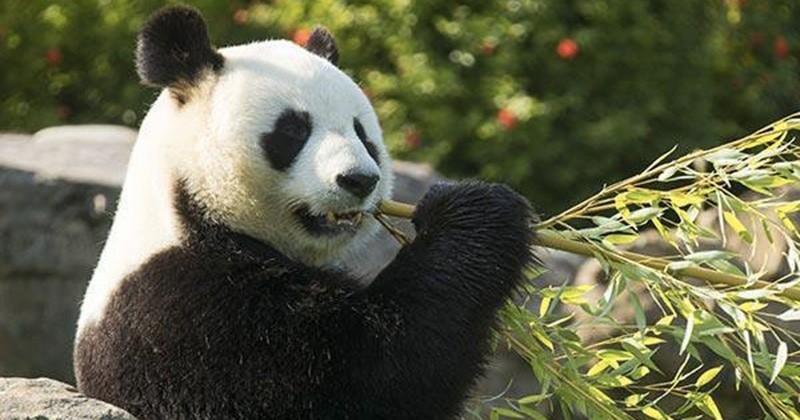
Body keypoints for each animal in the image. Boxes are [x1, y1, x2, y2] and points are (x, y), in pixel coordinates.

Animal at [75, 4, 536, 418]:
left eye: (363, 133)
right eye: (293, 131)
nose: (358, 180)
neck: (188, 210)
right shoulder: (183, 313)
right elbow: (374, 369)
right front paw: (478, 210)